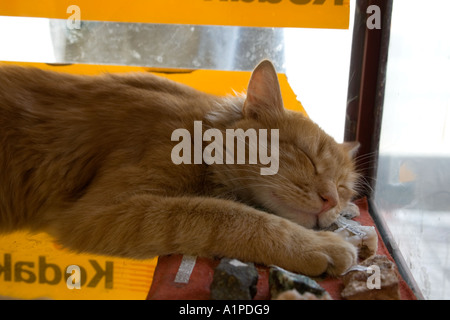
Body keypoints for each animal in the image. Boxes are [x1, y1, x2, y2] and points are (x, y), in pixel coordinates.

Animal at [0, 60, 358, 278]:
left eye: (343, 188)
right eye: (307, 156)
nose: (330, 200)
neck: (199, 133)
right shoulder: (103, 212)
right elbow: (236, 217)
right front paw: (318, 245)